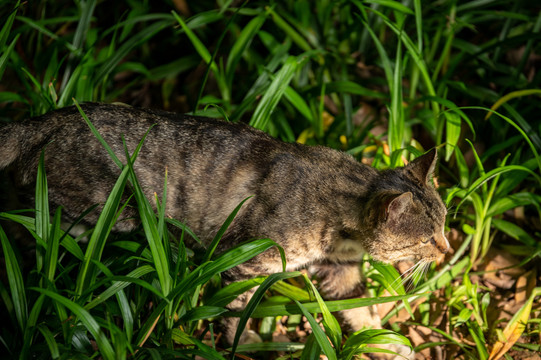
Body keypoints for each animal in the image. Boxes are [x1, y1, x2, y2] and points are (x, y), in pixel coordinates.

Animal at [0, 103, 448, 358]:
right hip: (86, 216)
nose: (447, 250)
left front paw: (389, 344)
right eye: (427, 238)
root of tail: (42, 120)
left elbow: (362, 311)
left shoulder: (342, 272)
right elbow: (235, 310)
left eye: (444, 224)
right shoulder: (246, 260)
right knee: (24, 227)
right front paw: (245, 343)